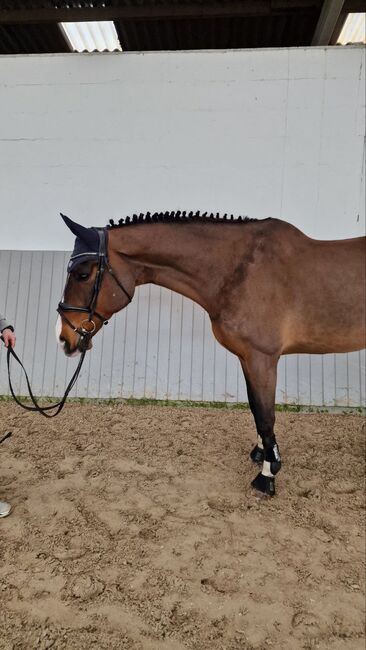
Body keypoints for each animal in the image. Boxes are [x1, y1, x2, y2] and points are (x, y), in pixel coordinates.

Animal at [57, 210, 366, 494]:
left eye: (83, 274)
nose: (64, 338)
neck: (240, 270)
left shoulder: (262, 358)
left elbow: (266, 415)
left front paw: (267, 475)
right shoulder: (247, 358)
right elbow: (256, 408)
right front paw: (260, 454)